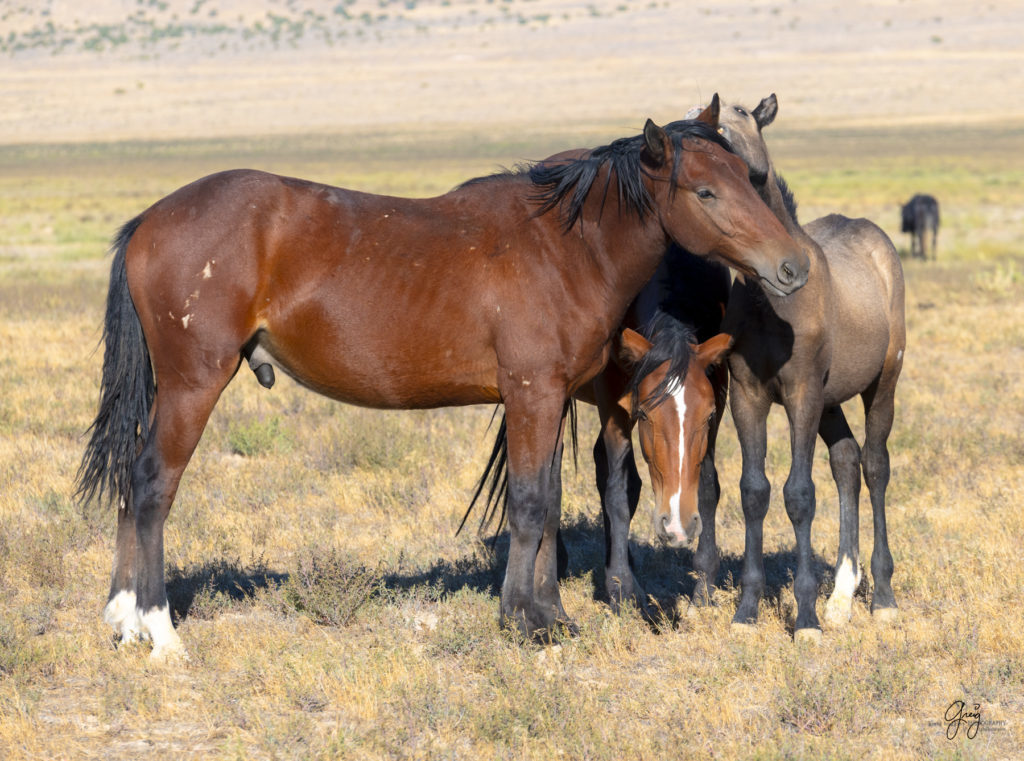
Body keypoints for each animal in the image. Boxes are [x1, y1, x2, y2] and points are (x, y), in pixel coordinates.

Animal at [74, 111, 806, 659]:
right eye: (706, 192)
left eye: (750, 177)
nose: (792, 266)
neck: (564, 247)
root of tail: (148, 221)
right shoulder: (533, 393)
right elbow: (530, 504)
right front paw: (521, 619)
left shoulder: (551, 399)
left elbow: (547, 500)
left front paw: (551, 614)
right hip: (194, 384)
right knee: (153, 485)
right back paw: (160, 631)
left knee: (131, 480)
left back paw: (125, 619)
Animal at [708, 95, 909, 639]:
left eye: (739, 114)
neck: (773, 301)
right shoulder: (748, 395)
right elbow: (754, 491)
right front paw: (747, 611)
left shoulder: (801, 393)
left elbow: (799, 494)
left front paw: (805, 619)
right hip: (831, 400)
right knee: (846, 462)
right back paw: (841, 596)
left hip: (880, 383)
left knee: (875, 466)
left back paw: (881, 597)